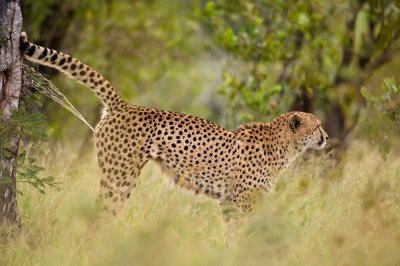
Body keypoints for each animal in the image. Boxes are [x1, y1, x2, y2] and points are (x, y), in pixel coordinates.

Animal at [19, 32, 328, 216]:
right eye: (317, 126)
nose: (326, 137)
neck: (285, 145)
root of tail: (125, 105)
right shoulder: (239, 202)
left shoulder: (234, 201)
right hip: (120, 175)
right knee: (103, 209)